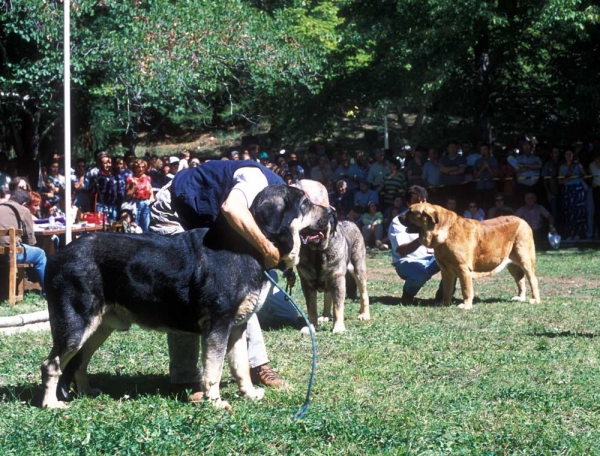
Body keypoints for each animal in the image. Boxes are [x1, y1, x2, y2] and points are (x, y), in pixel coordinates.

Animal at [41, 185, 332, 410]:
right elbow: (213, 369)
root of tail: (57, 256)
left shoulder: (236, 328)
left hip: (98, 328)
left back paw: (85, 392)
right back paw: (50, 404)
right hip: (76, 325)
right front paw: (215, 402)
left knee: (79, 362)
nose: (333, 212)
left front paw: (249, 395)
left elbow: (241, 368)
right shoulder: (217, 326)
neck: (250, 248)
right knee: (51, 364)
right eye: (305, 204)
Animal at [292, 180, 370, 334]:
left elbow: (338, 306)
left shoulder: (337, 279)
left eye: (324, 214)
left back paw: (364, 314)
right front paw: (311, 326)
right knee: (328, 297)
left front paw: (338, 327)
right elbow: (312, 308)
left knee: (363, 292)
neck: (317, 252)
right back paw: (325, 316)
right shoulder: (307, 283)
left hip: (358, 268)